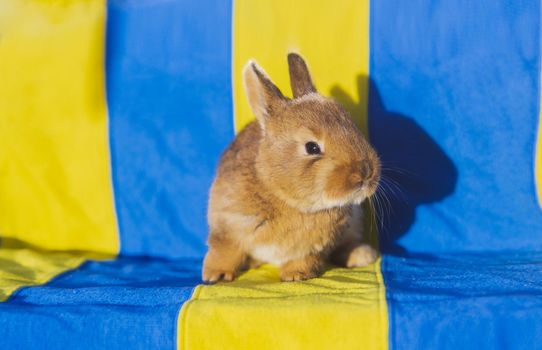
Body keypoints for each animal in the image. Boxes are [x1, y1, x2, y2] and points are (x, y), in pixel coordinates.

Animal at [203, 53, 382, 284]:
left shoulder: (310, 248)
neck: (281, 195)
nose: (366, 172)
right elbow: (225, 251)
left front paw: (297, 275)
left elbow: (303, 259)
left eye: (353, 126)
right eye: (312, 147)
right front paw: (215, 275)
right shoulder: (227, 227)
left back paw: (362, 255)